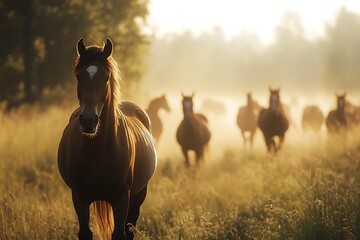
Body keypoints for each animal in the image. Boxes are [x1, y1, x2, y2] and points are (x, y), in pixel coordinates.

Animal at [57, 38, 156, 239]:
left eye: (106, 77)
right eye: (78, 76)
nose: (89, 121)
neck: (100, 151)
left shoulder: (122, 198)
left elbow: (119, 233)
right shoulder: (79, 197)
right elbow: (85, 233)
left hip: (138, 196)